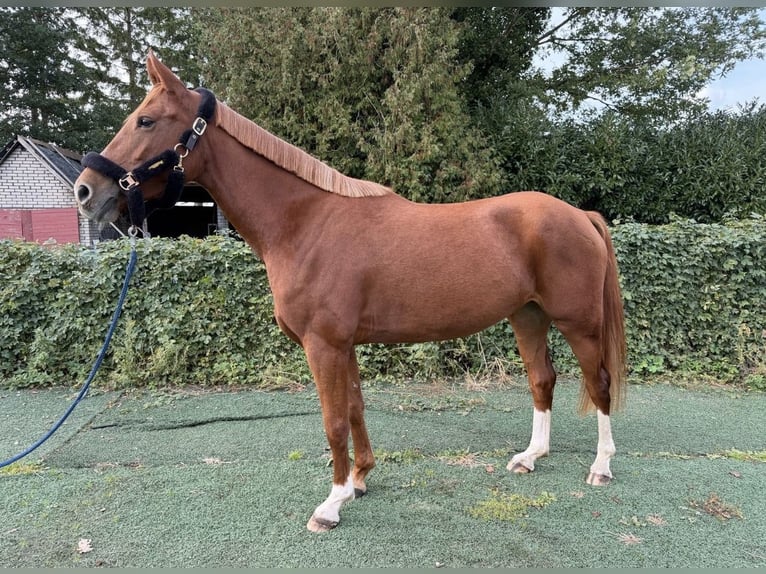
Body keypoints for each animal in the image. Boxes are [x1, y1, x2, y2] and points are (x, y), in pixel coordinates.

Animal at [74, 52, 627, 532]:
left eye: (146, 121)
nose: (85, 191)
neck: (305, 223)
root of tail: (580, 215)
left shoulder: (324, 345)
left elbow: (333, 421)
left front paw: (332, 504)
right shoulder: (345, 345)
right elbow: (356, 408)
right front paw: (360, 480)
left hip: (578, 322)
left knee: (598, 383)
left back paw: (601, 467)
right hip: (528, 316)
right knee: (542, 379)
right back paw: (531, 457)